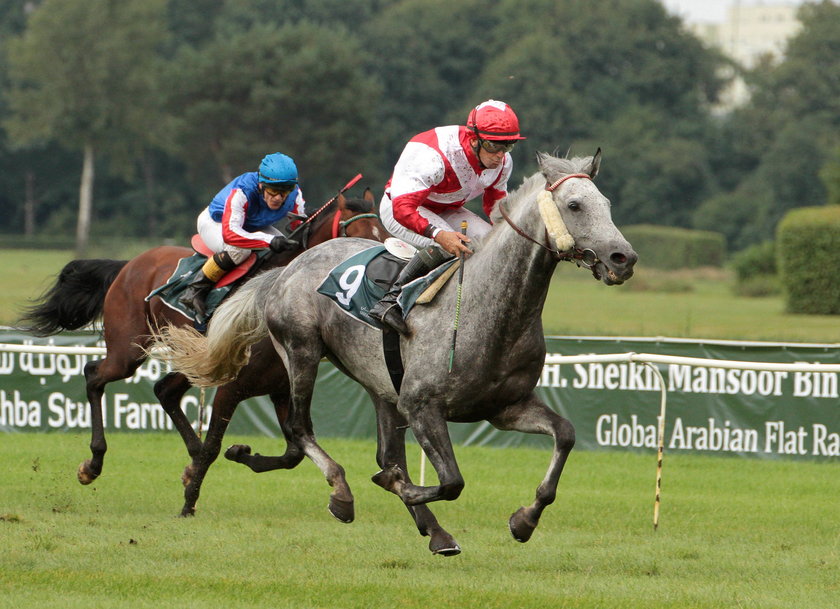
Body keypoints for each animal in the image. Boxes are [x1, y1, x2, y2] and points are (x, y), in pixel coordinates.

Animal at [18, 190, 388, 512]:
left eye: (382, 232)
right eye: (354, 233)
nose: (376, 279)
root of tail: (129, 264)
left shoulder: (280, 388)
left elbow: (293, 452)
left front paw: (238, 456)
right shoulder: (232, 387)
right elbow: (215, 446)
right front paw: (188, 504)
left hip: (195, 360)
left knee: (163, 390)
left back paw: (187, 462)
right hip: (129, 349)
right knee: (94, 375)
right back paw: (93, 464)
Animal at [151, 150, 636, 552]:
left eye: (607, 204)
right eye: (575, 205)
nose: (623, 258)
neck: (490, 307)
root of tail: (288, 267)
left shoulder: (505, 407)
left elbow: (565, 436)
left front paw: (524, 520)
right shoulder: (422, 405)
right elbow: (450, 481)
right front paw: (399, 486)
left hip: (380, 386)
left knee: (358, 448)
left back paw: (433, 531)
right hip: (301, 352)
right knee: (300, 430)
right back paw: (341, 493)